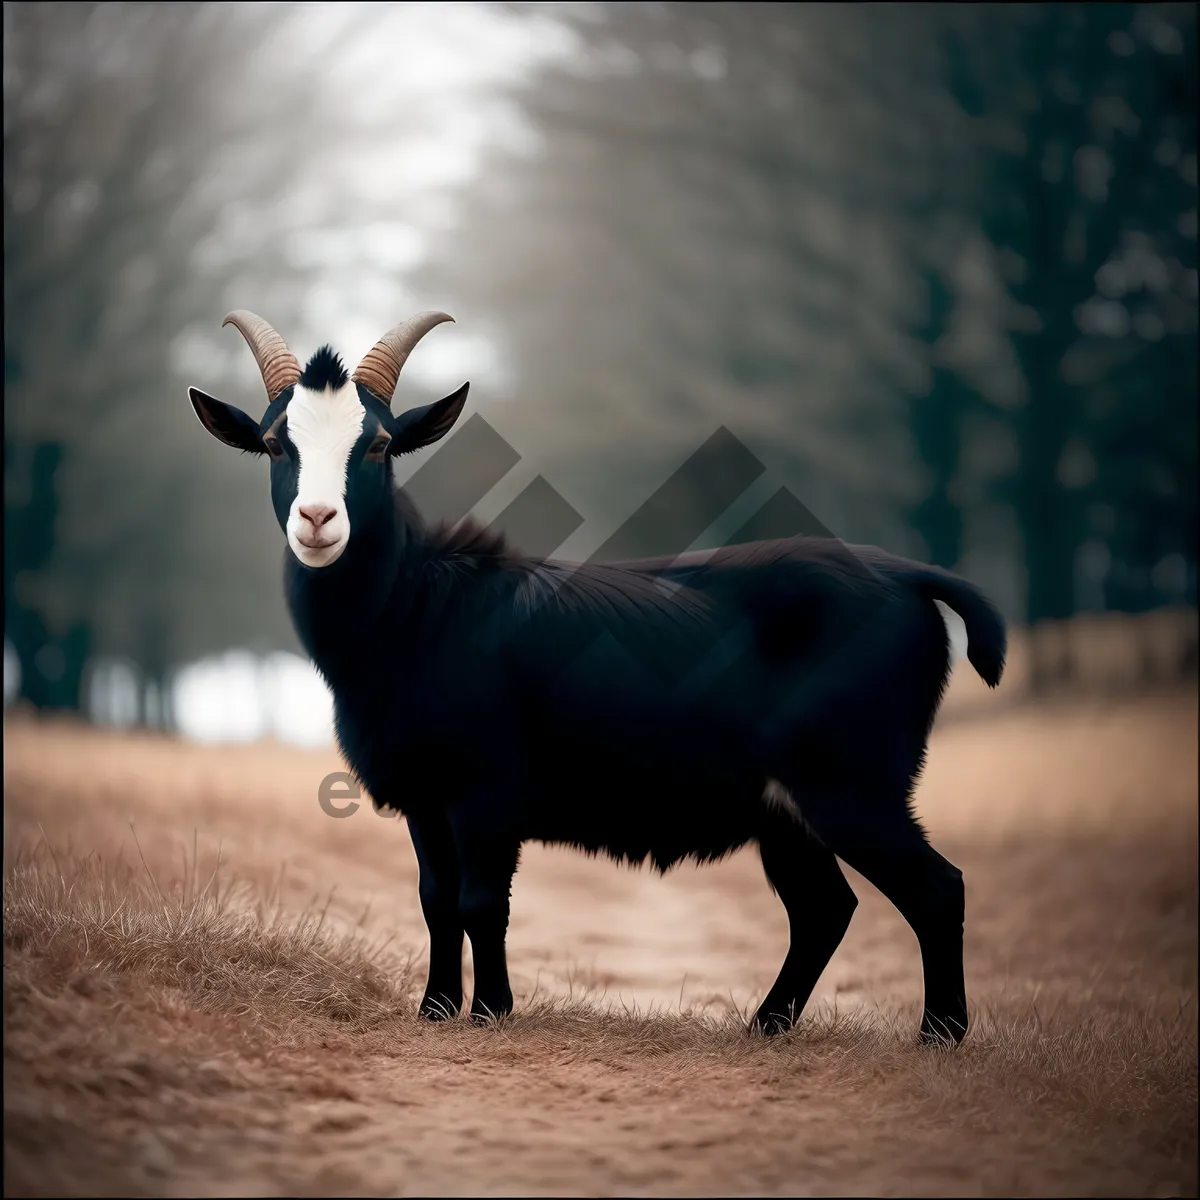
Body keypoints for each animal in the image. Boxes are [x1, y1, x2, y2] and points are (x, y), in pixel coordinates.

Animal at [192, 309, 1008, 1041]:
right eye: (274, 443)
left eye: (381, 444)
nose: (318, 520)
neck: (421, 606)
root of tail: (906, 576)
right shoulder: (426, 798)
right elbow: (435, 899)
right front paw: (435, 1011)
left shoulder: (487, 790)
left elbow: (482, 901)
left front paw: (490, 1013)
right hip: (787, 808)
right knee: (824, 908)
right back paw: (767, 1027)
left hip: (851, 785)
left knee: (937, 888)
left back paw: (939, 1035)